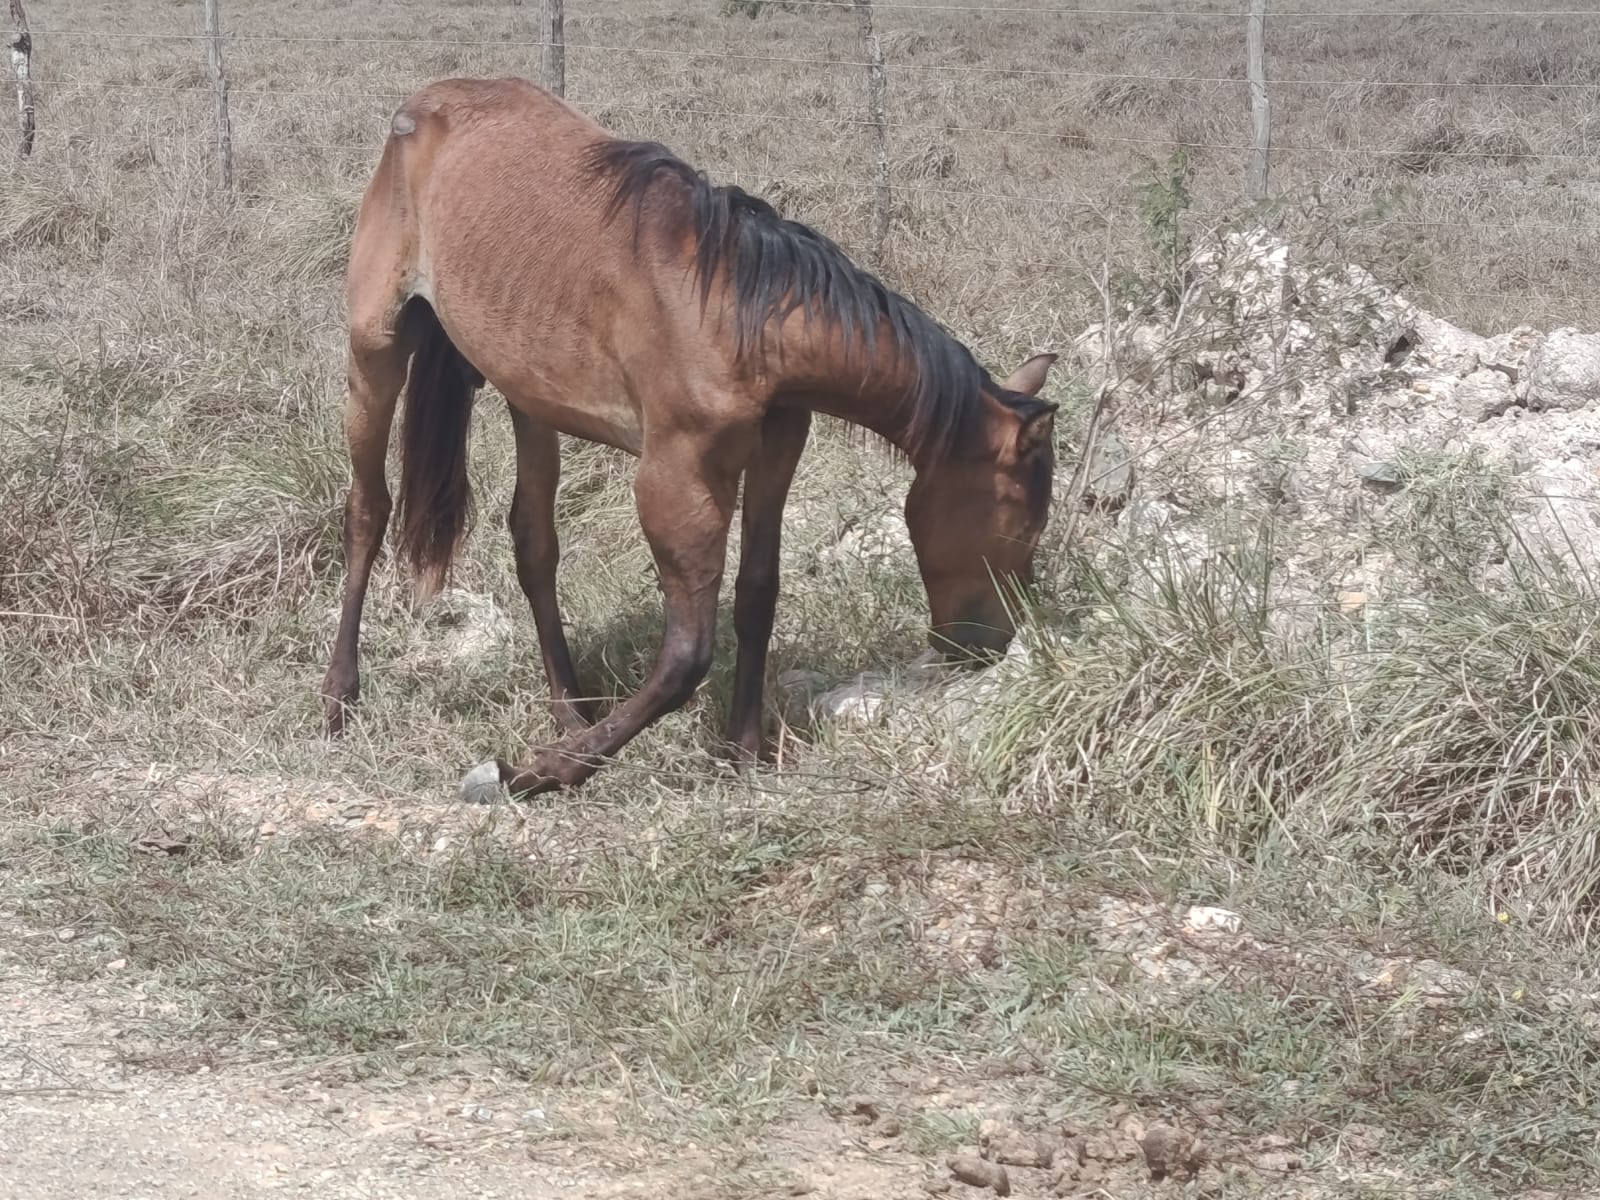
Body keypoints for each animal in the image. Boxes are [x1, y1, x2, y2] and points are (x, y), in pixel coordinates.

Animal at [319, 77, 1059, 797]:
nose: (991, 644)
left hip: (531, 394)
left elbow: (757, 595)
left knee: (534, 545)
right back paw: (339, 698)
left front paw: (744, 752)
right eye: (1024, 523)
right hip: (375, 354)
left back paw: (568, 708)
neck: (739, 310)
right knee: (367, 512)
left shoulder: (775, 452)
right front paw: (539, 771)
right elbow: (686, 655)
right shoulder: (675, 482)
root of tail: (424, 102)